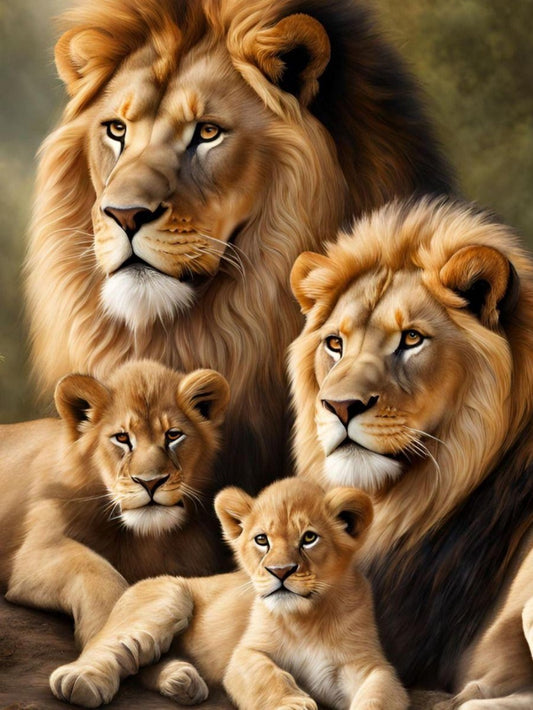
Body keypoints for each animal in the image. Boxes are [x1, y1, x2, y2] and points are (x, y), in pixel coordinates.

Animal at [0, 359, 229, 647]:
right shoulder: (39, 547)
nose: (151, 482)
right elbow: (94, 569)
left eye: (173, 435)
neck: (143, 539)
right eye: (122, 438)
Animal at [49, 477, 408, 710]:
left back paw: (182, 681)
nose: (280, 572)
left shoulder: (370, 666)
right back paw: (80, 681)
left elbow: (379, 696)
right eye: (262, 540)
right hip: (169, 594)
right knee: (113, 647)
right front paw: (292, 704)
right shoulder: (247, 654)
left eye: (309, 538)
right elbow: (268, 676)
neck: (309, 618)